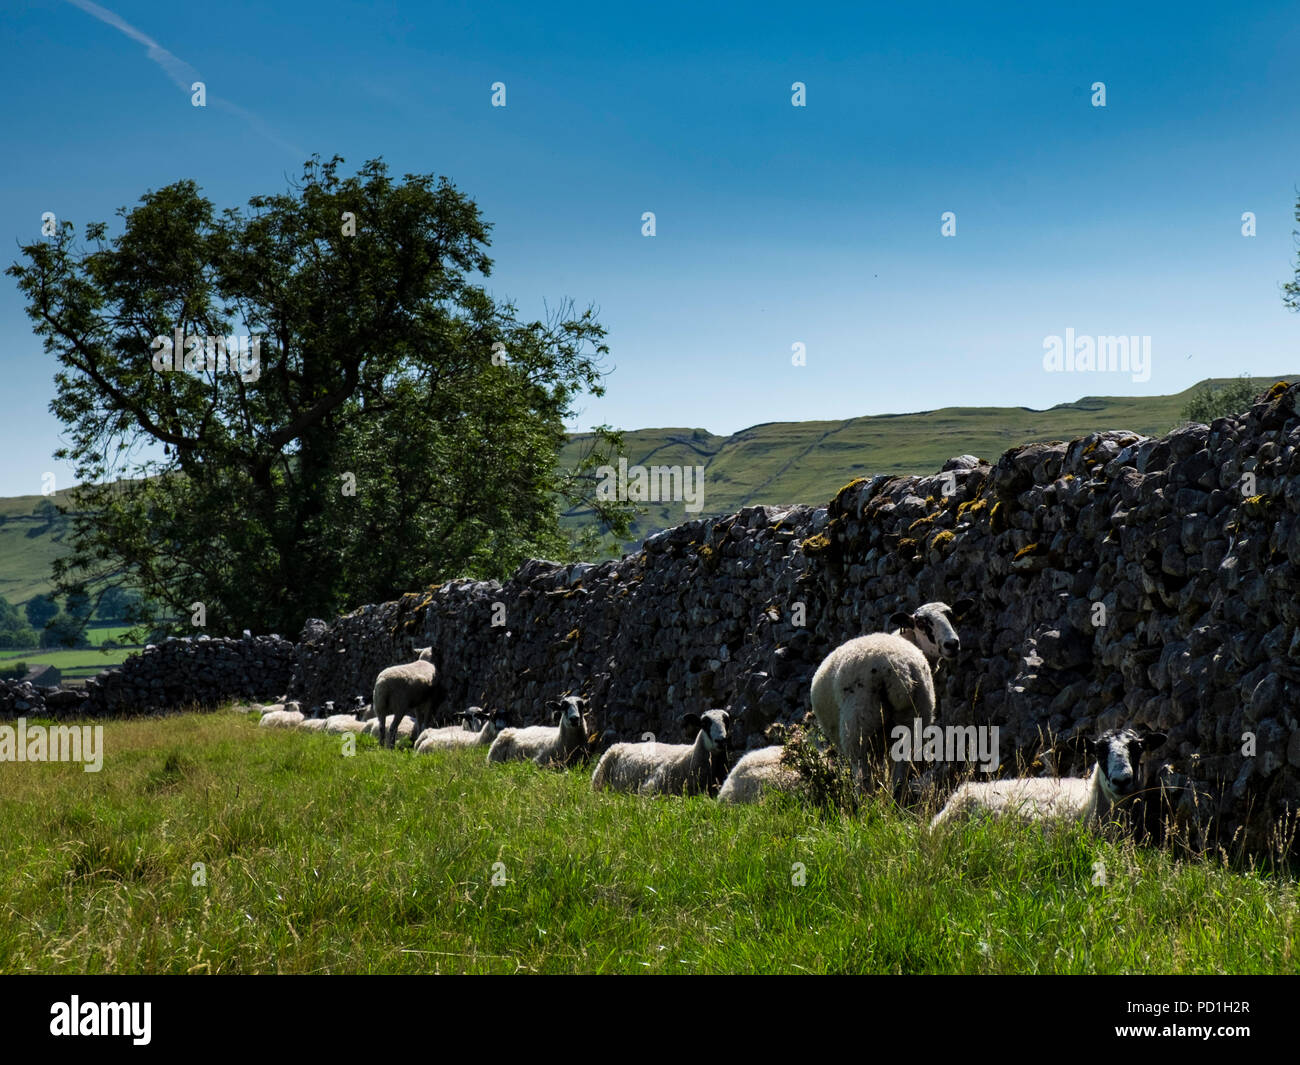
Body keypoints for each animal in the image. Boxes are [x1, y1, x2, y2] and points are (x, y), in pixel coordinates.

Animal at [592, 712, 733, 795]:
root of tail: (625, 743)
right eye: (704, 724)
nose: (721, 740)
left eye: (726, 722)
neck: (690, 756)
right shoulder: (649, 788)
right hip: (599, 777)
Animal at [806, 600, 972, 790]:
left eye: (951, 616)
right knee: (899, 775)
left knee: (864, 780)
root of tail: (897, 668)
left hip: (859, 726)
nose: (952, 644)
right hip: (913, 720)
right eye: (921, 623)